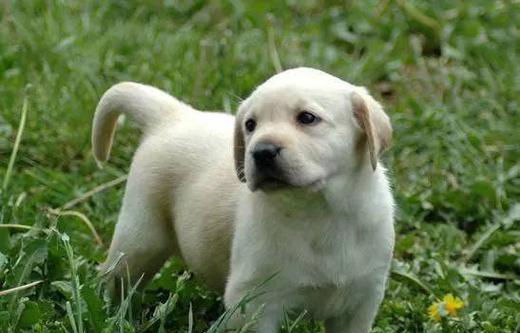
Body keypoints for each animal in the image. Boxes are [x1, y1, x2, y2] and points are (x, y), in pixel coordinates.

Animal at [92, 66, 394, 330]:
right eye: (251, 125)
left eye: (307, 118)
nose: (262, 151)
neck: (320, 210)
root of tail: (174, 116)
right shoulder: (254, 303)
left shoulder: (362, 300)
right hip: (139, 239)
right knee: (116, 279)